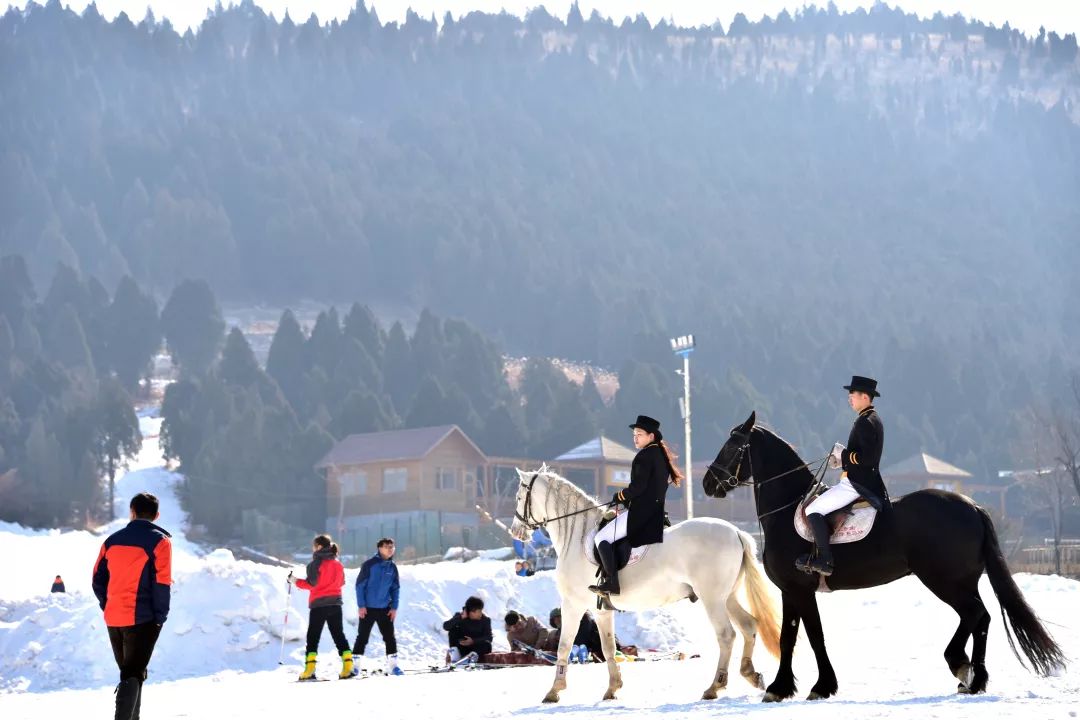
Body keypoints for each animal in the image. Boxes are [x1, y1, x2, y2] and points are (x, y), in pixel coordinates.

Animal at [505, 468, 777, 703]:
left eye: (519, 497)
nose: (516, 532)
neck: (577, 537)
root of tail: (735, 532)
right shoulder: (602, 610)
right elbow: (608, 647)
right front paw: (613, 689)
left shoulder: (573, 604)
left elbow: (564, 646)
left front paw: (554, 692)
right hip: (727, 597)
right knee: (748, 626)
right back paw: (751, 675)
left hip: (712, 599)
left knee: (726, 635)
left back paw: (714, 687)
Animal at [704, 414, 1067, 699]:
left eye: (733, 447)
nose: (708, 483)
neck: (788, 509)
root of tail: (972, 506)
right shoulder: (792, 591)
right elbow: (792, 637)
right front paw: (787, 687)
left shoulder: (799, 590)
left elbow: (808, 637)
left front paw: (812, 687)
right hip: (963, 581)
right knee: (982, 618)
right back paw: (973, 678)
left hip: (944, 580)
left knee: (974, 614)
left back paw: (962, 668)